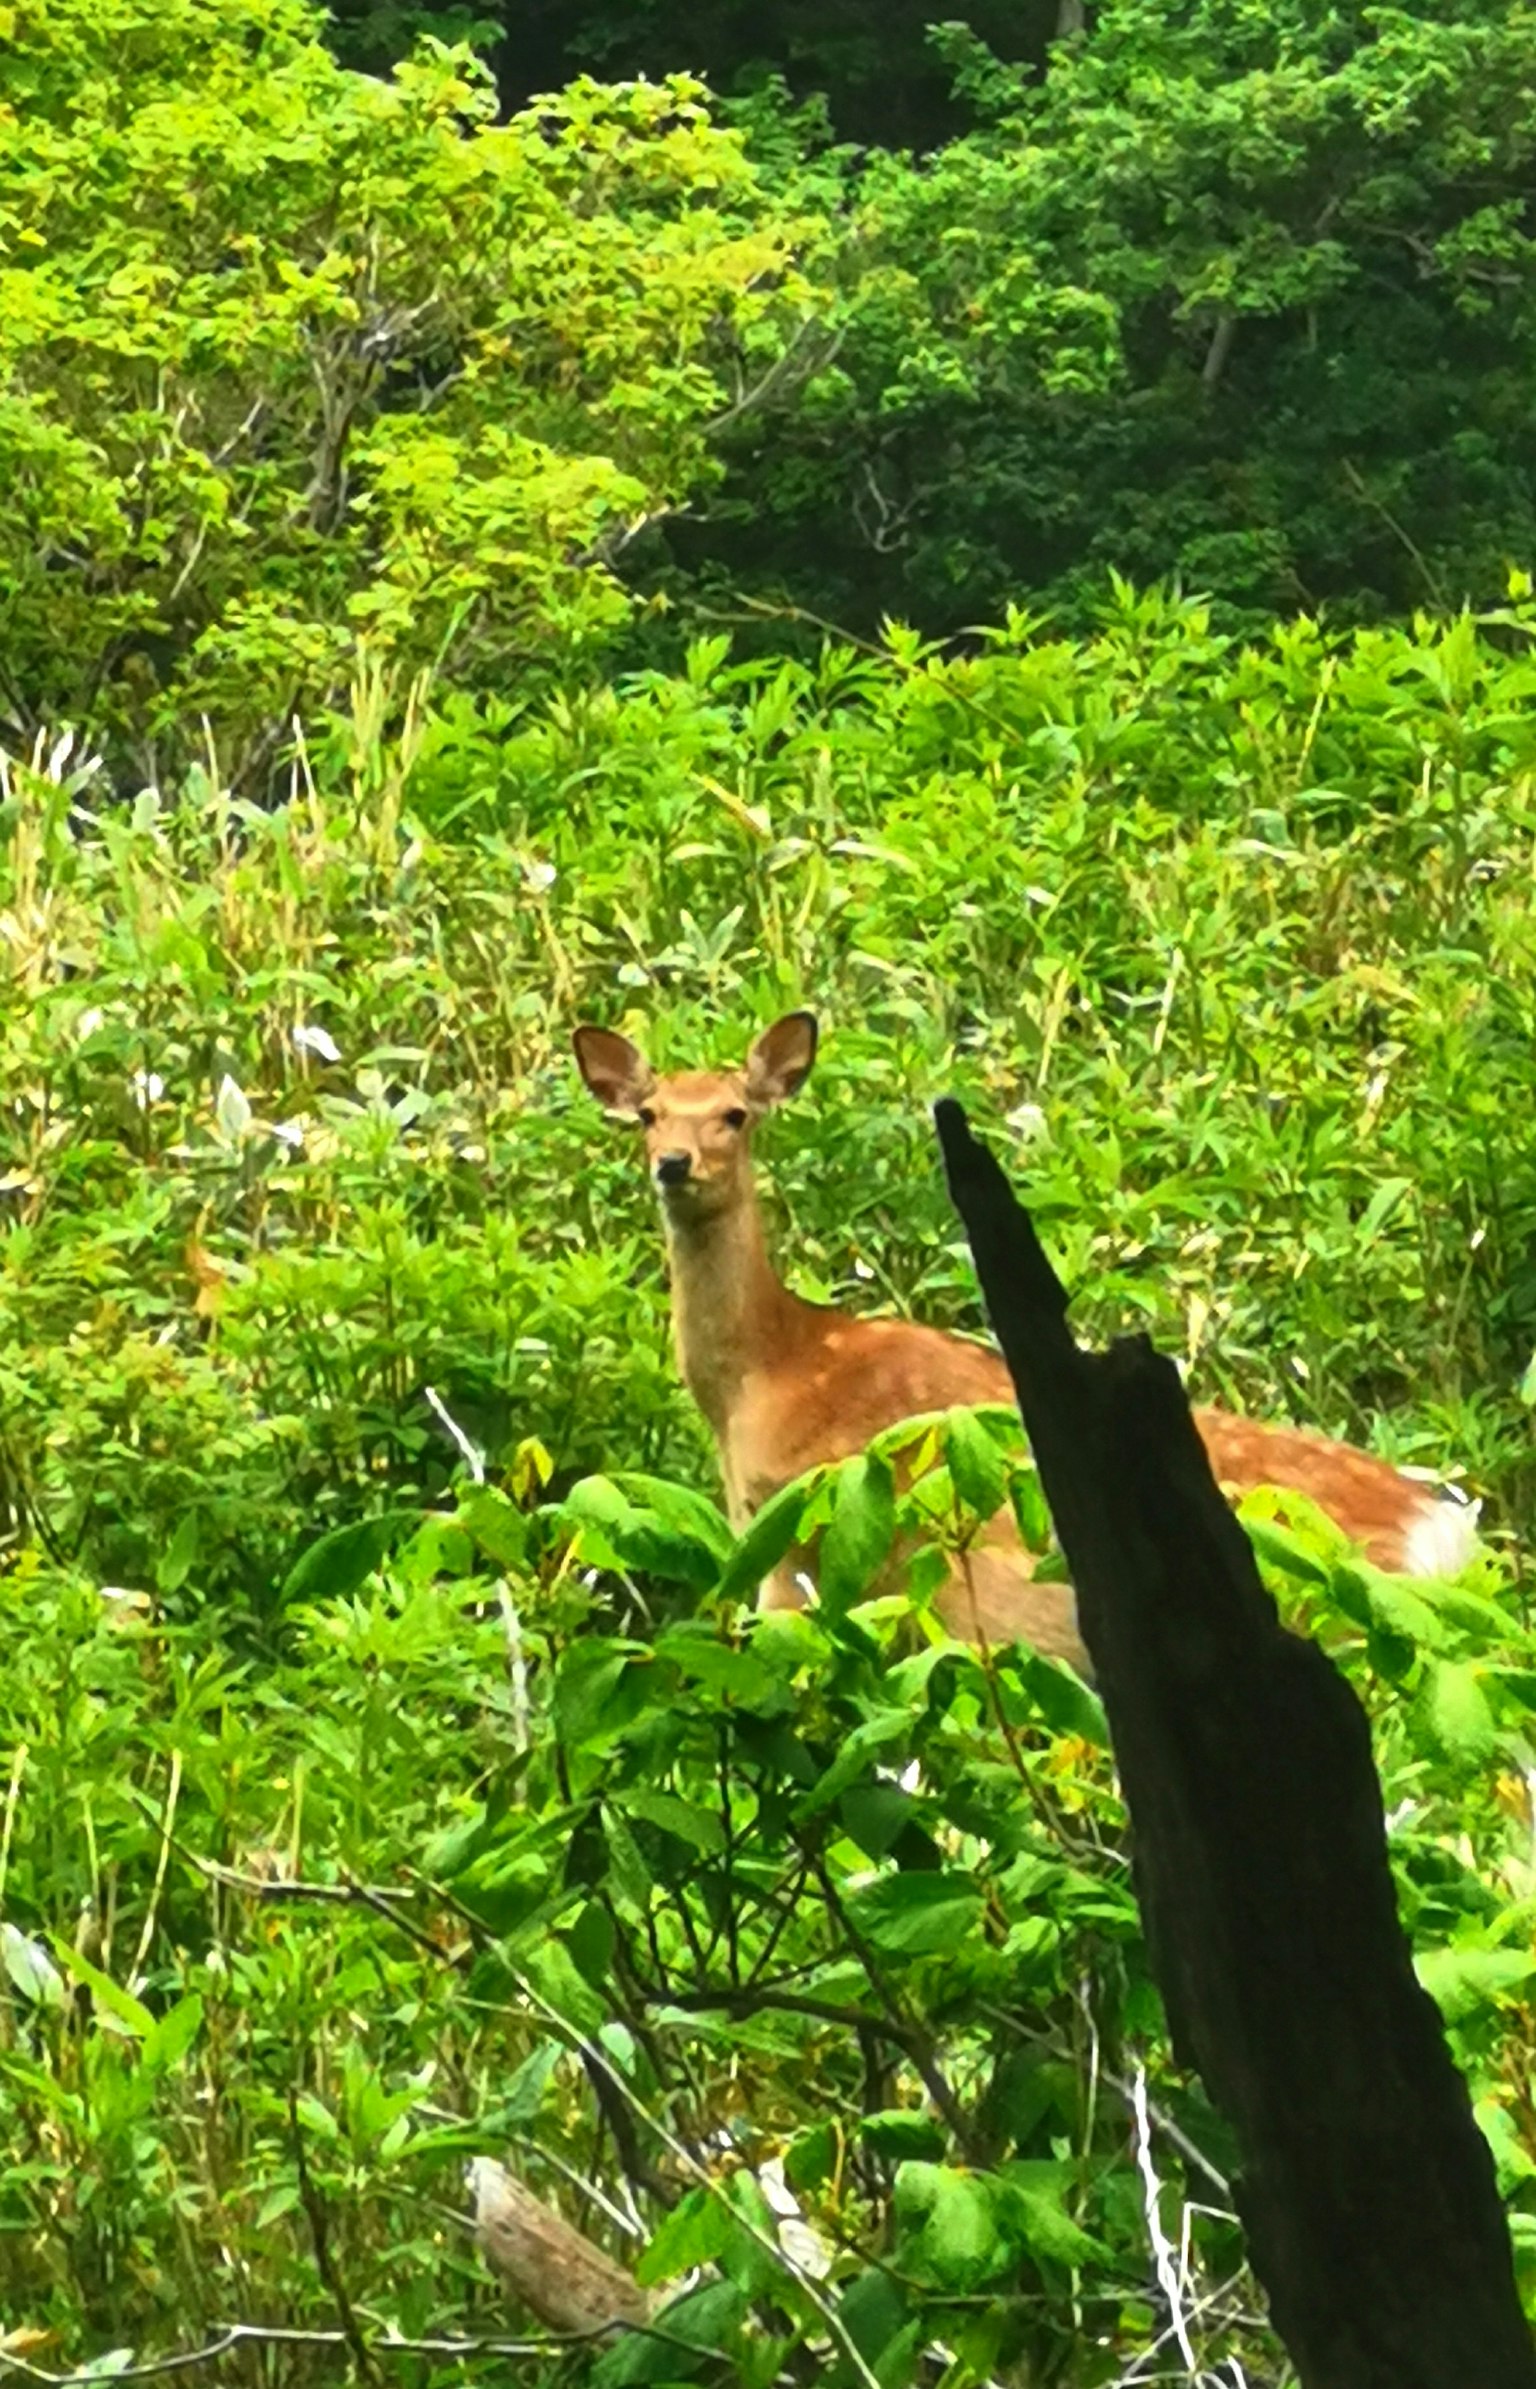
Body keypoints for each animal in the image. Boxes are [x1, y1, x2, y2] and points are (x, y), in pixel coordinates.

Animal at [573, 1010, 1479, 1675]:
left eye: (735, 1113)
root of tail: (1443, 1534)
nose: (674, 1162)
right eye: (648, 1114)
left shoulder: (795, 1537)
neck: (773, 1369)